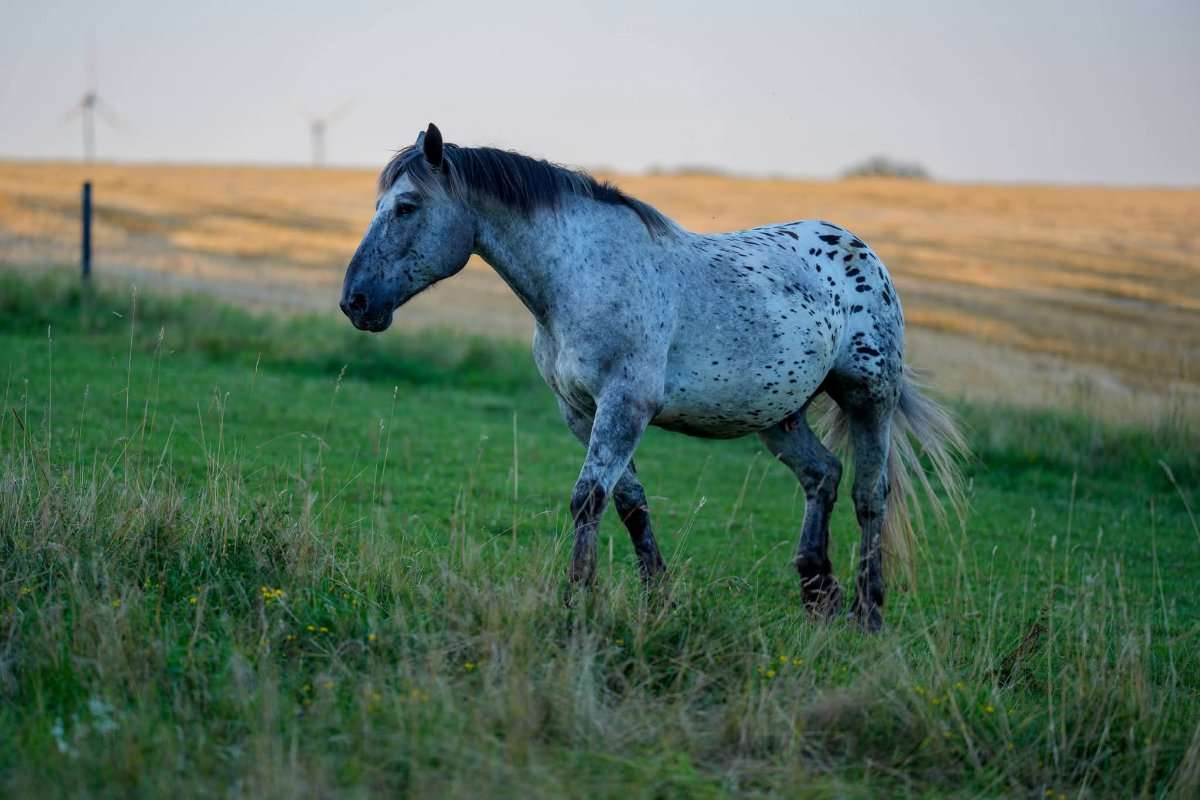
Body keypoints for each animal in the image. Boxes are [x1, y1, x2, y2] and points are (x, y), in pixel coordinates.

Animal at [340, 123, 966, 630]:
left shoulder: (625, 406)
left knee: (870, 495)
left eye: (406, 207)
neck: (582, 275)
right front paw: (657, 598)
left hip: (869, 396)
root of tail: (863, 252)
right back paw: (818, 597)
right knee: (823, 476)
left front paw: (574, 601)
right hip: (779, 414)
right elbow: (629, 504)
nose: (355, 302)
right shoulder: (581, 411)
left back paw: (868, 613)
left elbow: (588, 498)